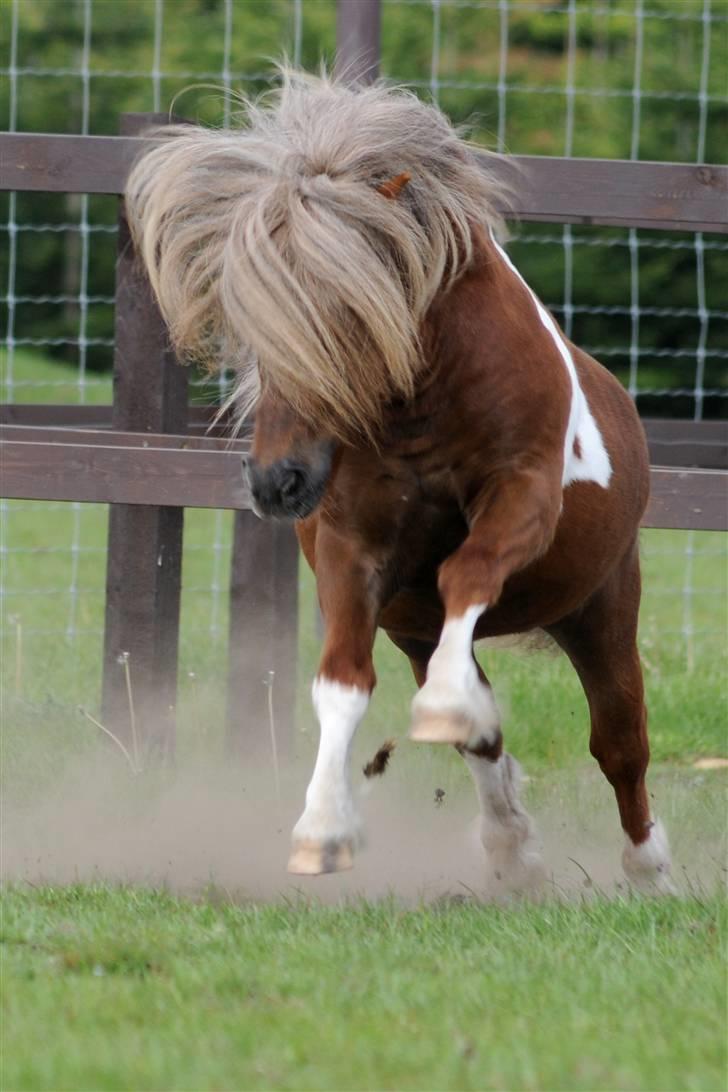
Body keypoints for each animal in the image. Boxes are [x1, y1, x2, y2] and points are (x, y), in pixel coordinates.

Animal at [126, 72, 676, 895]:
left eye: (350, 316)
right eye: (251, 324)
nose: (276, 483)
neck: (424, 406)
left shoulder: (525, 498)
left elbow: (468, 570)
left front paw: (446, 704)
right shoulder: (353, 549)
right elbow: (343, 684)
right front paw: (322, 832)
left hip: (602, 604)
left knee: (621, 741)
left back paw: (650, 869)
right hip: (418, 626)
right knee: (488, 745)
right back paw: (512, 852)